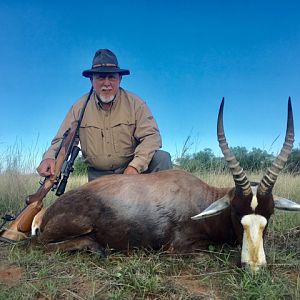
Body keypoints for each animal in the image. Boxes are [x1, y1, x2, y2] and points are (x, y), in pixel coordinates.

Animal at [31, 98, 298, 272]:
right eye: (235, 211)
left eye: (269, 214)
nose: (254, 267)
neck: (200, 196)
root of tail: (45, 213)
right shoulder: (179, 248)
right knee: (39, 244)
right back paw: (95, 248)